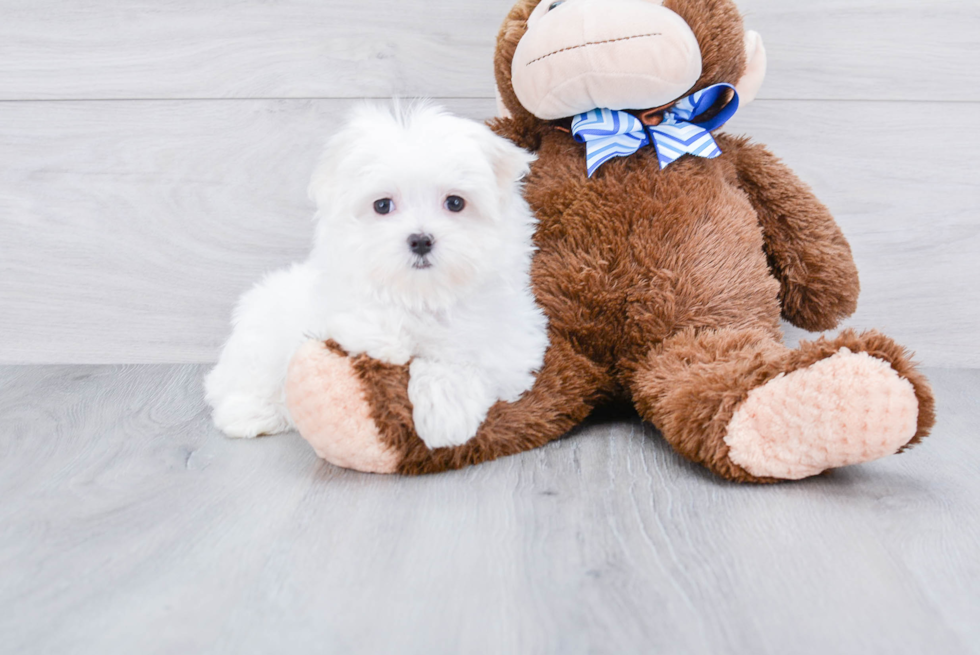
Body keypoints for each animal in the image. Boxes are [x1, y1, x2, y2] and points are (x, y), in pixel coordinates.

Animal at [203, 102, 548, 452]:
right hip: (259, 338)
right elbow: (367, 317)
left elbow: (464, 359)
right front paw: (389, 341)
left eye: (455, 202)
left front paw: (444, 414)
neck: (424, 294)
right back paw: (250, 414)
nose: (420, 240)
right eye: (382, 205)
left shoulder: (511, 345)